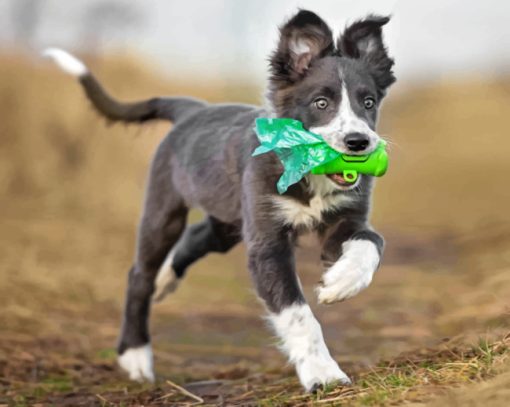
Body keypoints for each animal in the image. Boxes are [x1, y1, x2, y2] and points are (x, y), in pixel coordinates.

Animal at [44, 9, 394, 392]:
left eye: (368, 102)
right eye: (321, 103)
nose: (359, 142)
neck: (307, 172)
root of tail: (192, 110)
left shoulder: (345, 221)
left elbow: (371, 241)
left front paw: (340, 282)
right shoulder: (267, 244)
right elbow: (298, 314)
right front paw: (323, 374)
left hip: (228, 220)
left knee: (196, 236)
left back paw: (165, 281)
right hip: (164, 210)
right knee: (139, 275)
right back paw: (136, 355)